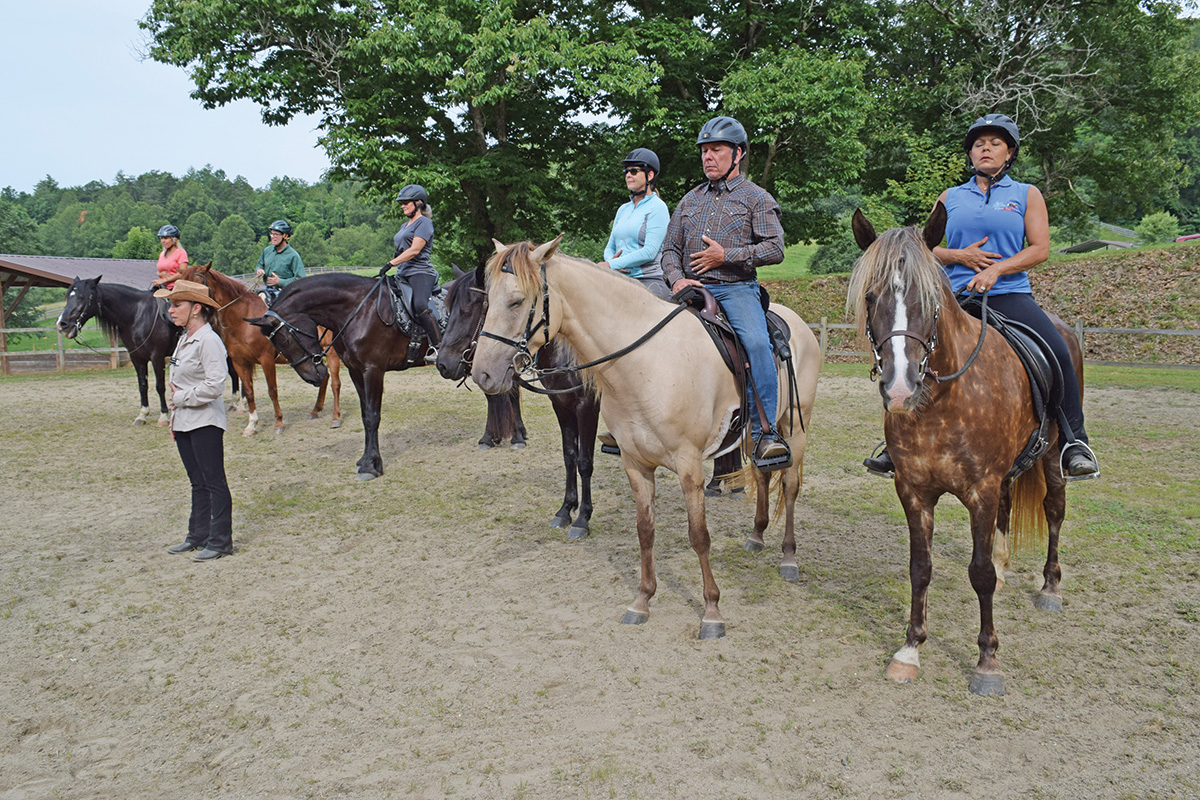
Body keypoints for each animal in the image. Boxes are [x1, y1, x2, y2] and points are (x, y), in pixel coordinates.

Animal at [55, 275, 180, 424]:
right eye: (68, 296)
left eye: (81, 297)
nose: (62, 324)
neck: (138, 315)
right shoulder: (137, 357)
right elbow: (142, 385)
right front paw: (142, 414)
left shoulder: (157, 357)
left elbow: (160, 386)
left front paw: (163, 416)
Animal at [176, 263, 343, 434]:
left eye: (196, 285)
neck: (242, 322)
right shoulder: (239, 362)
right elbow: (249, 392)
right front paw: (251, 424)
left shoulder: (266, 360)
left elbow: (272, 390)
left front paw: (279, 423)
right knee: (324, 376)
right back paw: (315, 410)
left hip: (331, 354)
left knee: (335, 383)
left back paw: (335, 417)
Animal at [470, 237, 825, 638]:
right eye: (487, 301)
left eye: (516, 301)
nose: (482, 373)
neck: (646, 362)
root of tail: (797, 322)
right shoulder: (635, 464)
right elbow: (644, 530)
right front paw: (642, 600)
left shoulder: (689, 467)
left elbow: (699, 536)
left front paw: (712, 611)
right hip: (756, 432)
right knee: (764, 475)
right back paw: (756, 536)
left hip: (795, 427)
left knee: (791, 487)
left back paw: (788, 557)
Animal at [849, 203, 1075, 695]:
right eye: (871, 298)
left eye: (930, 299)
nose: (900, 389)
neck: (941, 403)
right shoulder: (914, 490)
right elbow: (921, 567)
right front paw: (910, 649)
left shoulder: (980, 491)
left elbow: (979, 574)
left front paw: (987, 661)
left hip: (1052, 456)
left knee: (1054, 510)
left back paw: (1050, 587)